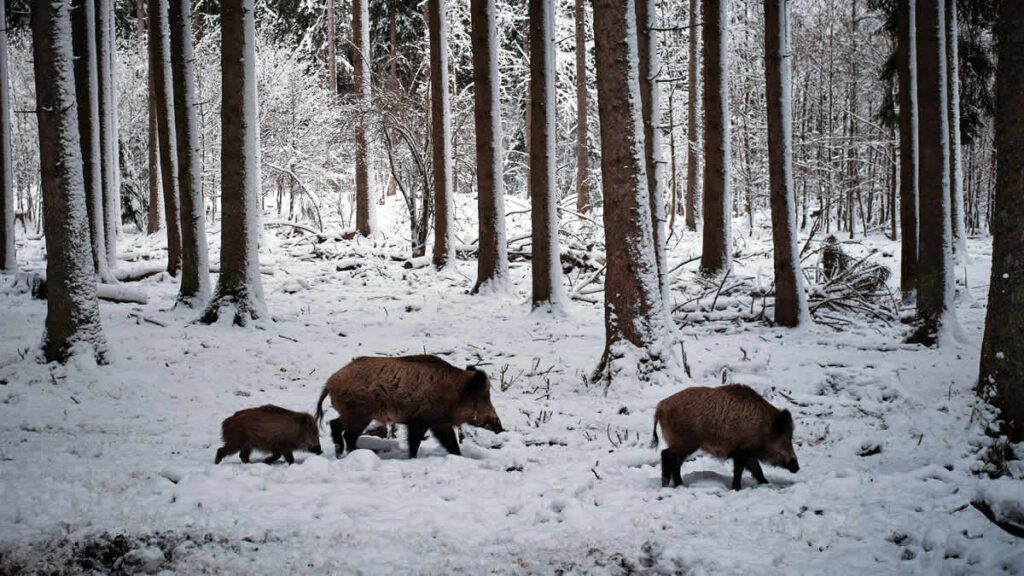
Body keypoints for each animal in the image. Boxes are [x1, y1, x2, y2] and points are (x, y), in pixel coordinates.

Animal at [316, 355, 504, 459]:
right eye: (483, 397)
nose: (501, 428)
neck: (455, 393)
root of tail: (330, 383)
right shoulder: (419, 420)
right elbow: (414, 442)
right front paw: (412, 458)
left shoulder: (440, 423)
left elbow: (452, 444)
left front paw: (459, 457)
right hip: (359, 414)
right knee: (342, 430)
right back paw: (348, 453)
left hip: (356, 415)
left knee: (341, 429)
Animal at [652, 384, 799, 490]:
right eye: (787, 438)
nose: (797, 468)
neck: (765, 428)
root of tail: (660, 406)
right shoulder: (741, 452)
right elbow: (740, 471)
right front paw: (736, 488)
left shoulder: (749, 454)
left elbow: (757, 470)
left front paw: (766, 483)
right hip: (684, 442)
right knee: (667, 455)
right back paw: (672, 485)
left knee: (674, 461)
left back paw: (676, 485)